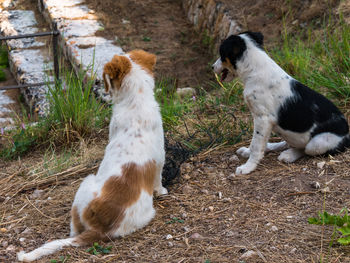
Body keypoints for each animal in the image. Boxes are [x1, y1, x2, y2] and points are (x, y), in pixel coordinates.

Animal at [17, 49, 168, 262]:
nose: (102, 91)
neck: (136, 101)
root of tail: (102, 229)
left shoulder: (160, 157)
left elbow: (158, 180)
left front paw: (161, 191)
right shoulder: (160, 155)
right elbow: (158, 178)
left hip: (85, 182)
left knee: (74, 229)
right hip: (145, 214)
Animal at [212, 31, 348, 175]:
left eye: (221, 54)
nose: (212, 67)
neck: (254, 70)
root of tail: (347, 135)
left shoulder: (262, 119)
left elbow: (256, 145)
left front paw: (248, 167)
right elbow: (256, 144)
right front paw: (248, 153)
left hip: (317, 143)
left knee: (305, 149)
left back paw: (289, 155)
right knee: (288, 142)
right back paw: (273, 147)